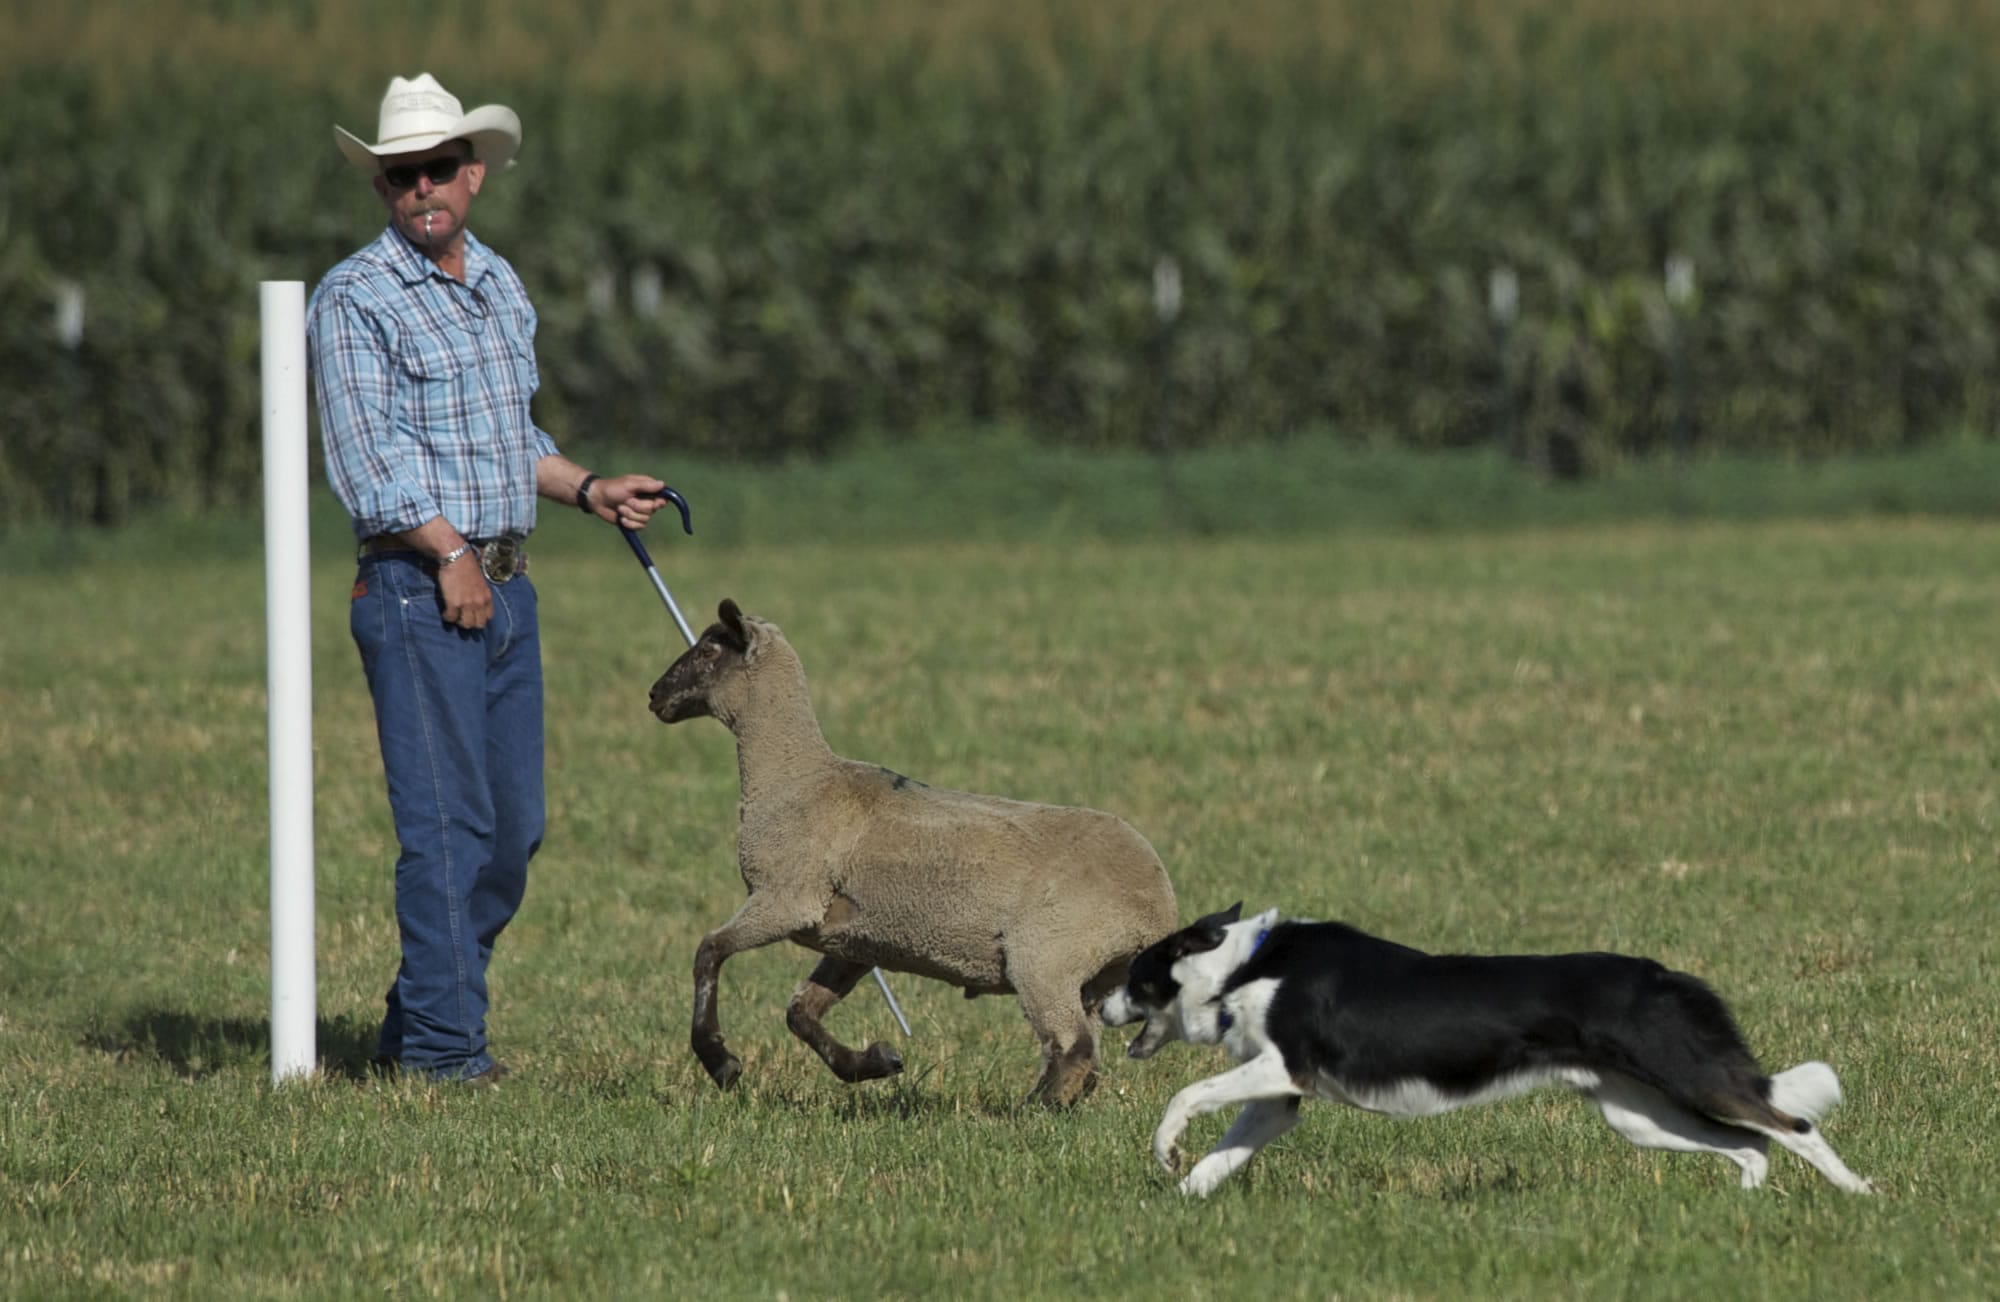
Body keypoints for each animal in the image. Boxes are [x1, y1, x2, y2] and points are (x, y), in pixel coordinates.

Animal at [640, 608, 1176, 1104]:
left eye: (709, 650)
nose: (653, 696)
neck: (796, 778)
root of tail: (1158, 905)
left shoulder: (787, 898)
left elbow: (709, 951)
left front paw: (720, 1061)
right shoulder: (854, 938)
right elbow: (801, 1013)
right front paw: (875, 1062)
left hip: (1048, 954)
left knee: (1073, 1047)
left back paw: (1029, 1112)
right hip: (1095, 976)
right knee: (1088, 1059)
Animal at [1096, 908, 1872, 1200]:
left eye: (1134, 975)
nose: (1091, 1003)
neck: (1245, 966)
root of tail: (1667, 976)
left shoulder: (1284, 1067)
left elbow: (1185, 1096)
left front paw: (1165, 1150)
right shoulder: (1279, 1100)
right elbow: (1218, 1159)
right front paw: (1174, 1205)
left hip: (1692, 1076)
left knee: (1793, 1126)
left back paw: (1862, 1195)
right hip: (1640, 1116)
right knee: (1752, 1145)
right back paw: (1746, 1209)